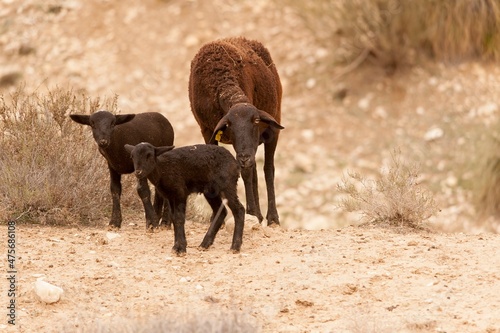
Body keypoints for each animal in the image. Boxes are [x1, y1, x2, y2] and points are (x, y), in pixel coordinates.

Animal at [188, 37, 286, 227]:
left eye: (256, 121)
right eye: (229, 125)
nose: (245, 157)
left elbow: (249, 172)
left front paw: (251, 212)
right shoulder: (208, 131)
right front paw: (216, 217)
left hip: (272, 128)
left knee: (267, 169)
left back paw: (271, 217)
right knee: (254, 170)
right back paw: (259, 215)